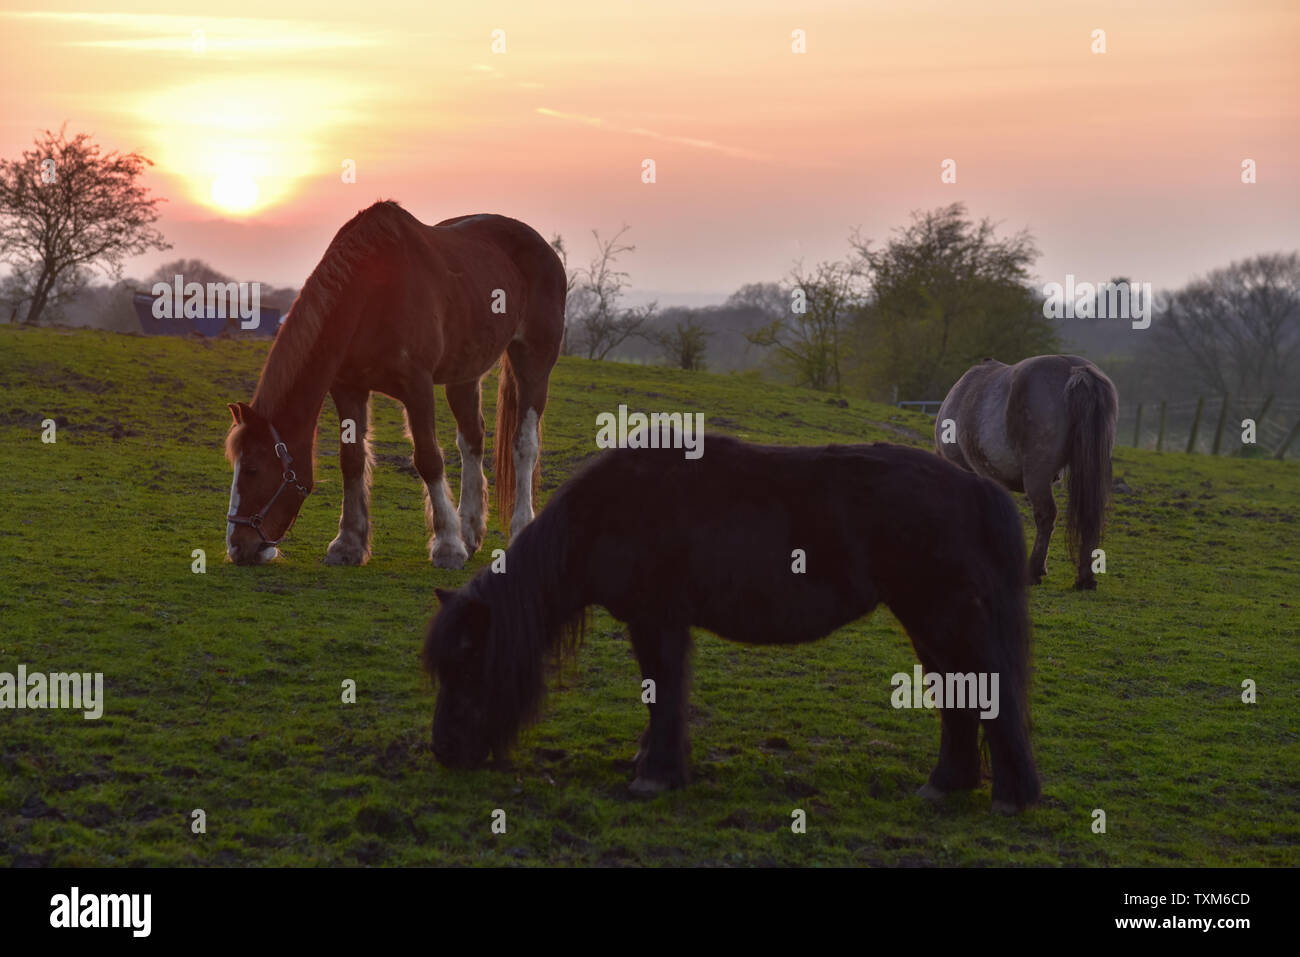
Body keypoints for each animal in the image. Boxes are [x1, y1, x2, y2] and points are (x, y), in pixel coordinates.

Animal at [222, 197, 564, 564]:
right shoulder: (348, 388)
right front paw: (348, 543)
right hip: (465, 373)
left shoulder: (417, 387)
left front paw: (447, 544)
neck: (371, 294)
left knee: (524, 444)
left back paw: (516, 529)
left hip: (533, 361)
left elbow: (428, 459)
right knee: (472, 439)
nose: (238, 547)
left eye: (253, 469)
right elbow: (351, 459)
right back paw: (470, 531)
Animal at [421, 436, 1040, 811]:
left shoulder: (658, 621)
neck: (609, 512)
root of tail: (974, 488)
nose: (444, 751)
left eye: (470, 664)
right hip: (927, 620)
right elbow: (658, 697)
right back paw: (946, 784)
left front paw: (656, 773)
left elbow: (664, 693)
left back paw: (1012, 794)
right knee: (957, 694)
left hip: (943, 614)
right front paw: (650, 760)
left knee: (985, 689)